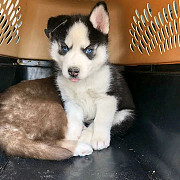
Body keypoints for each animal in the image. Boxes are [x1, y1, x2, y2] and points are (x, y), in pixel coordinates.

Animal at [47, 1, 134, 150]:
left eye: (89, 50)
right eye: (64, 48)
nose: (73, 71)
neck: (83, 83)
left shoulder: (108, 98)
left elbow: (101, 120)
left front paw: (98, 138)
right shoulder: (70, 101)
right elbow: (74, 119)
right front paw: (71, 135)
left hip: (125, 115)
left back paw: (87, 135)